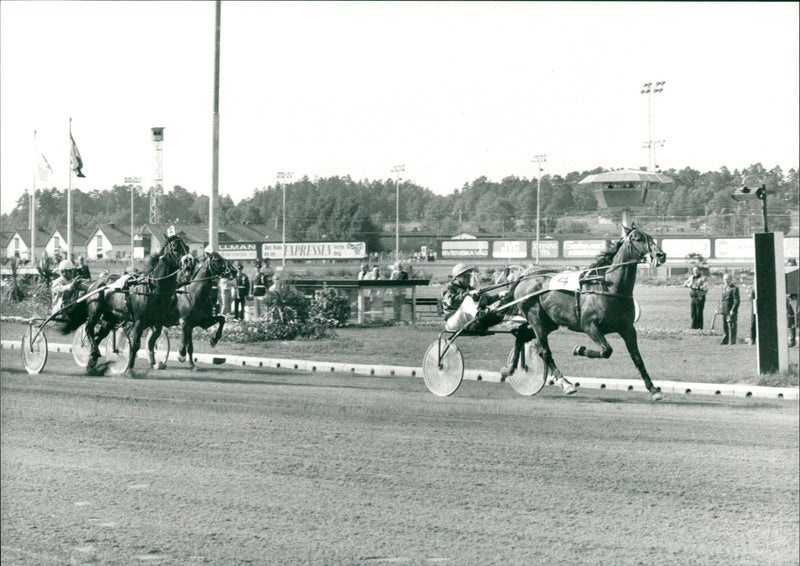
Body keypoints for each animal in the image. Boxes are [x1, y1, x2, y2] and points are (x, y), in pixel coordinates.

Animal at [506, 224, 668, 402]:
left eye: (651, 237)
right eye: (638, 239)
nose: (661, 255)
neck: (609, 287)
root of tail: (524, 277)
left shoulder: (627, 328)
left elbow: (637, 359)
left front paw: (654, 389)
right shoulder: (589, 326)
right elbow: (606, 351)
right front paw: (579, 349)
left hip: (549, 322)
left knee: (521, 335)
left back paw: (510, 369)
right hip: (536, 320)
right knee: (544, 351)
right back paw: (566, 384)